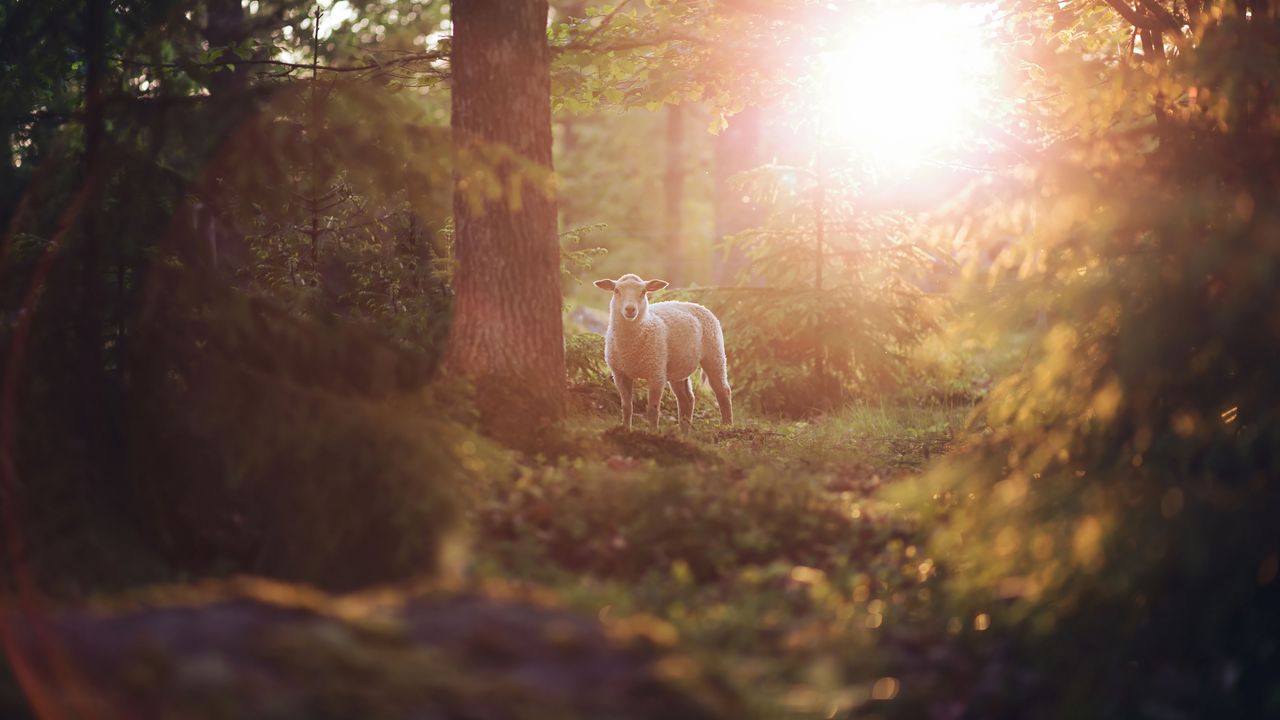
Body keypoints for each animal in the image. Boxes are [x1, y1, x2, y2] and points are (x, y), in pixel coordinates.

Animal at [588, 272, 732, 430]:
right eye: (616, 291)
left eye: (643, 292)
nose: (630, 309)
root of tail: (695, 304)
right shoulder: (619, 374)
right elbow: (626, 407)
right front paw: (626, 429)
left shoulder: (656, 374)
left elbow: (652, 410)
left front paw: (653, 432)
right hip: (677, 368)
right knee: (687, 399)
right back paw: (684, 431)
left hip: (715, 354)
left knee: (723, 391)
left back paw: (727, 426)